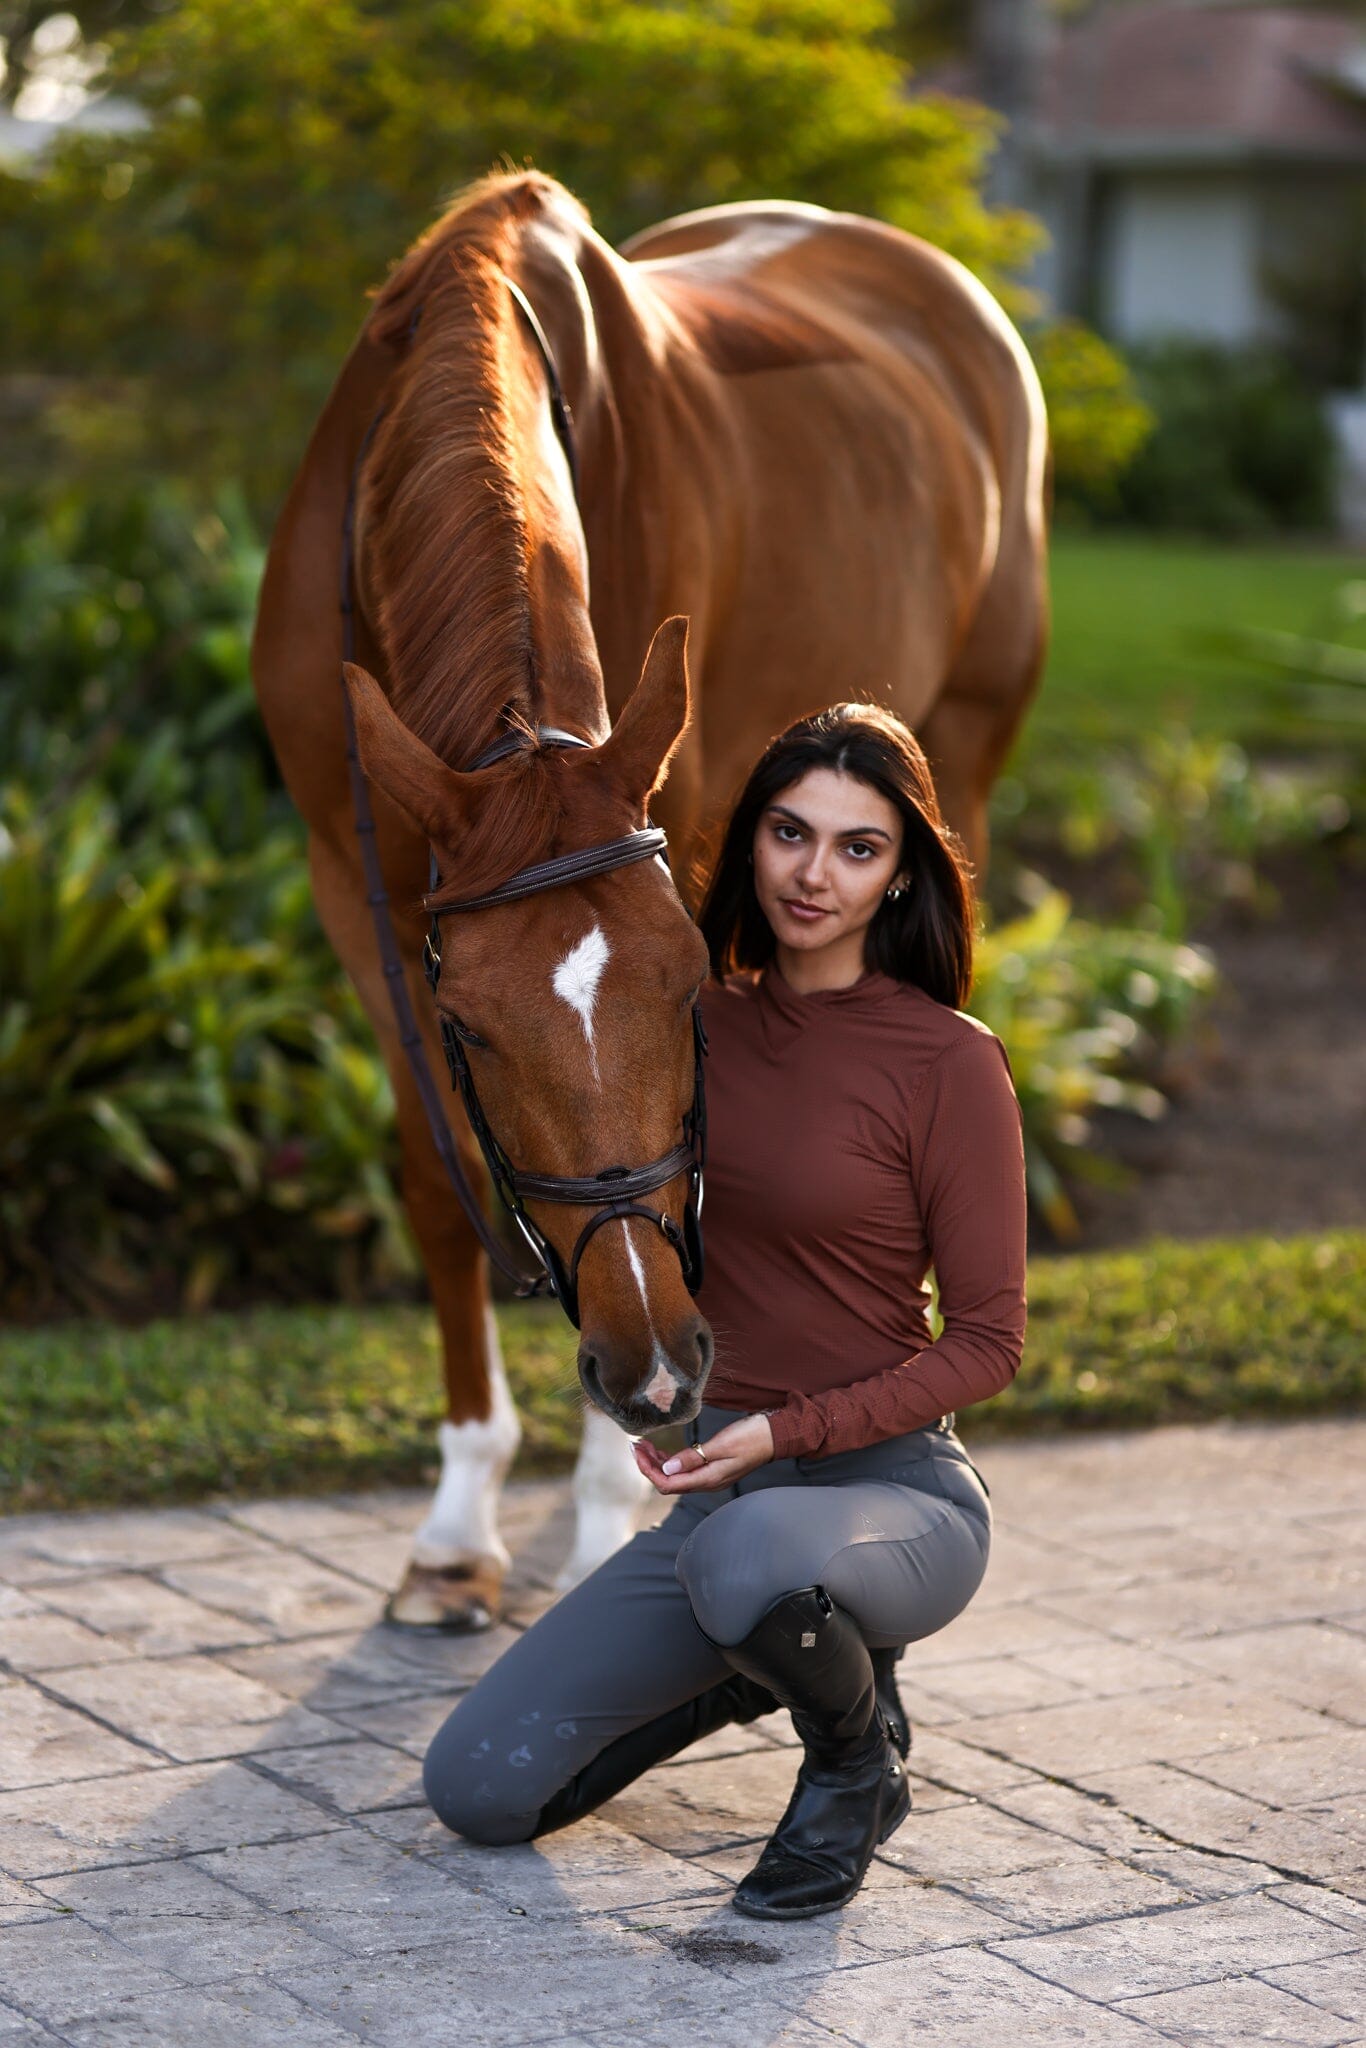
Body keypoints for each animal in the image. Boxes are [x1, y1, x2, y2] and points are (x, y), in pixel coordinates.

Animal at [253, 163, 1048, 1630]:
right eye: (471, 1024)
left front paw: (610, 1510)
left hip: (959, 757)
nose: (657, 1368)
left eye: (686, 993)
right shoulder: (355, 880)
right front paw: (457, 1523)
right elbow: (436, 1177)